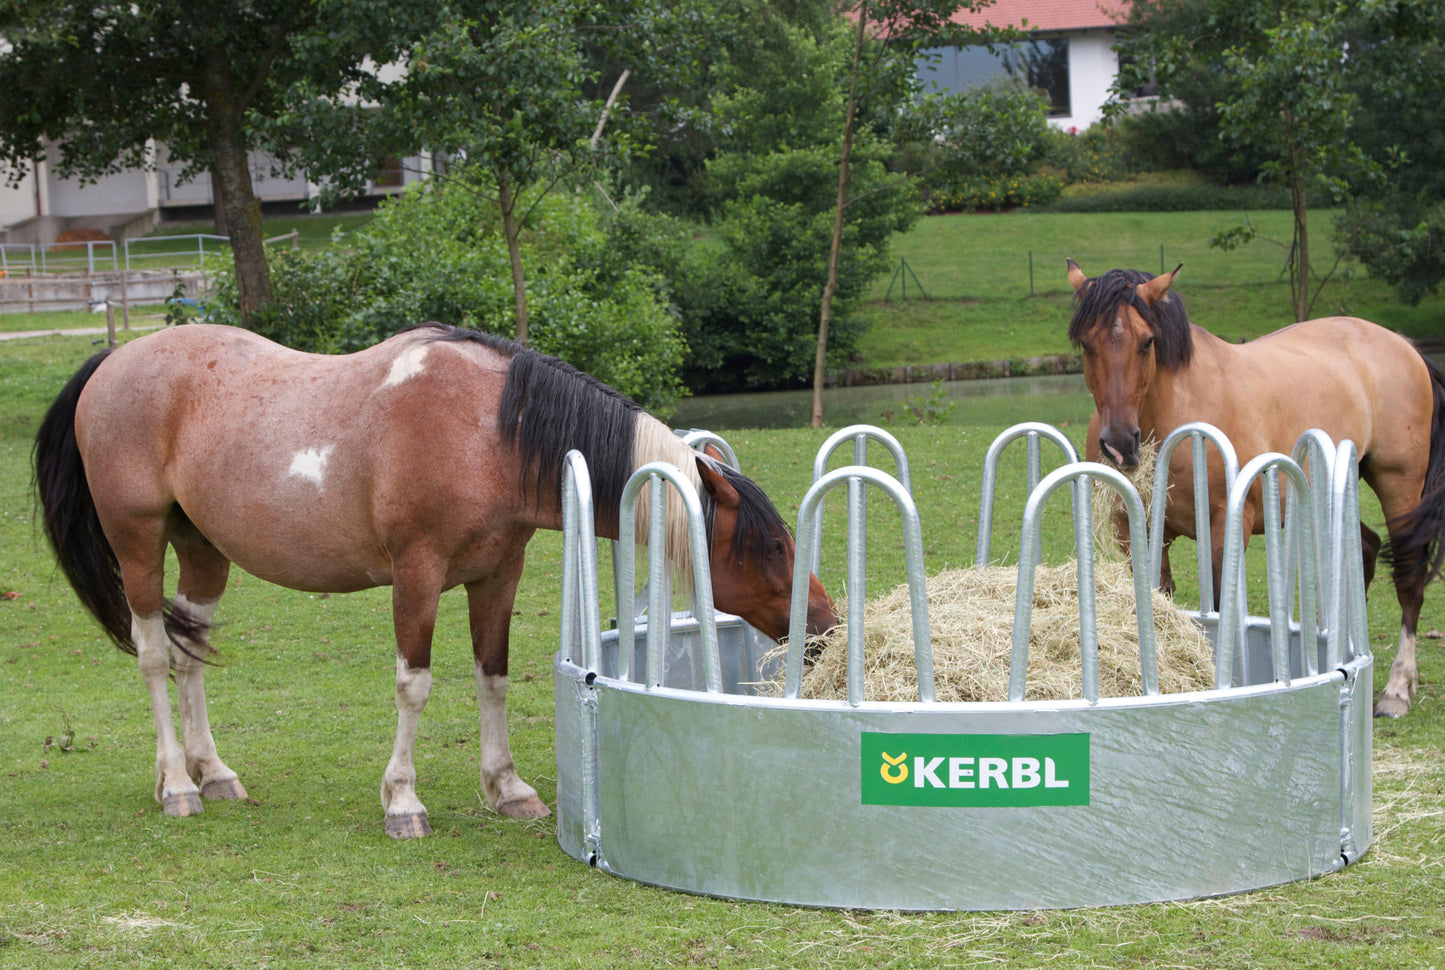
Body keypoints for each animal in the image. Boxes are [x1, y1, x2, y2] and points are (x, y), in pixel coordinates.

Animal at [33, 323, 838, 832]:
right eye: (771, 546)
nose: (825, 625)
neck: (487, 432)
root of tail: (113, 362)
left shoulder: (498, 576)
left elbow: (493, 677)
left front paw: (507, 788)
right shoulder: (415, 576)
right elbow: (413, 684)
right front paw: (402, 802)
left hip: (202, 551)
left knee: (190, 653)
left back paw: (216, 774)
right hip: (139, 544)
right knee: (153, 655)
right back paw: (176, 785)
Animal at [1063, 261, 1445, 717]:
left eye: (1147, 342)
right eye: (1087, 344)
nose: (1120, 443)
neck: (1178, 414)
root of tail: (1404, 345)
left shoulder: (1226, 527)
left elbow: (1217, 609)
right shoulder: (1133, 529)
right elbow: (1154, 601)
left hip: (1399, 484)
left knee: (1409, 577)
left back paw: (1397, 689)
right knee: (1368, 547)